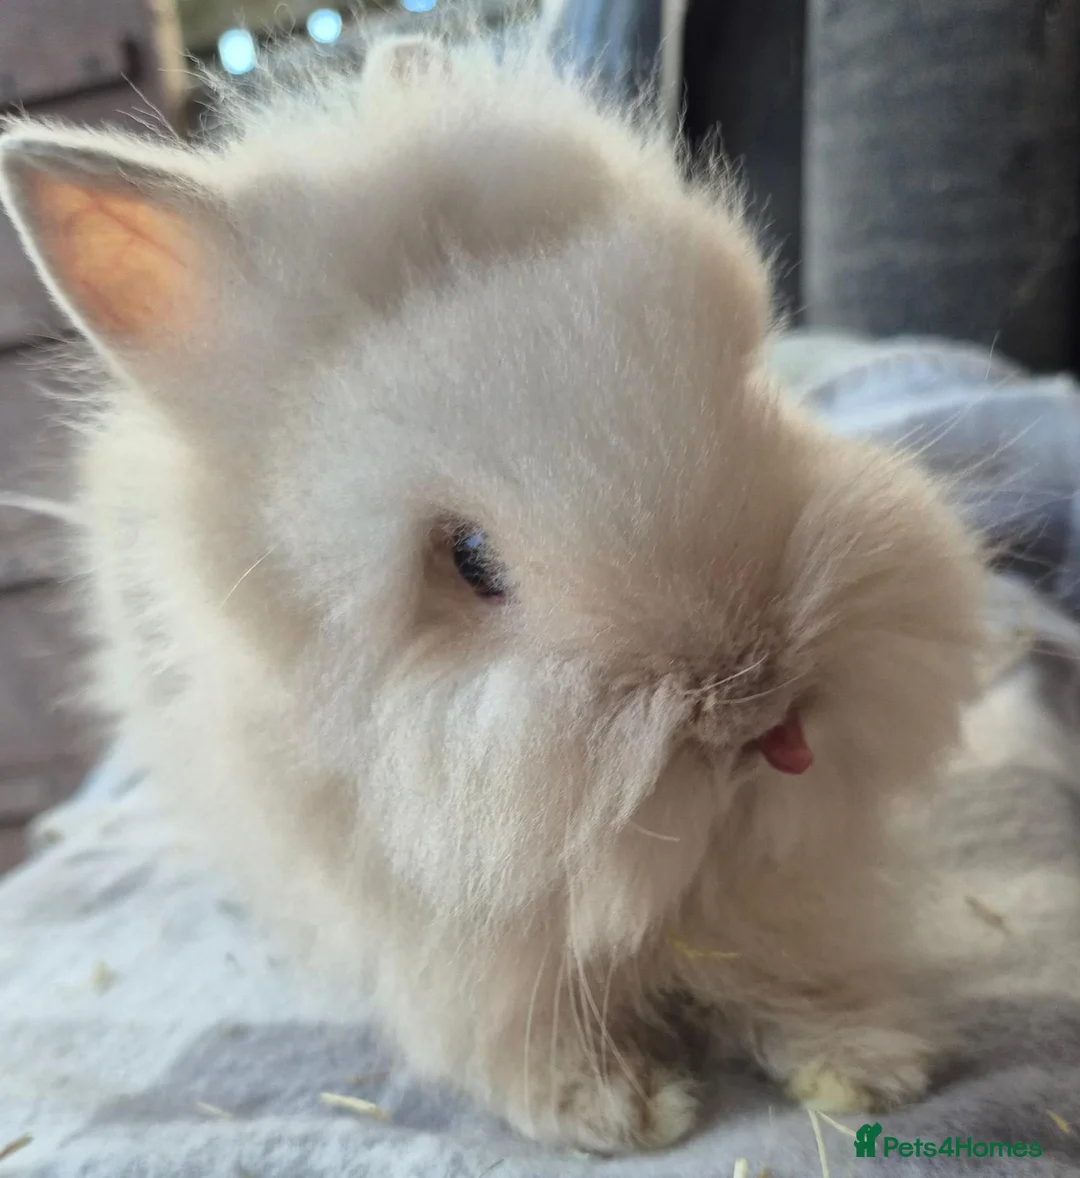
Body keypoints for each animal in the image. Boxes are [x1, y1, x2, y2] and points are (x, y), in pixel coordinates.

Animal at [0, 25, 985, 1155]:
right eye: (469, 560)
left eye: (746, 391)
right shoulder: (435, 926)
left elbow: (787, 955)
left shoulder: (774, 879)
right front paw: (614, 1105)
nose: (757, 710)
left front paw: (871, 1063)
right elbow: (514, 1013)